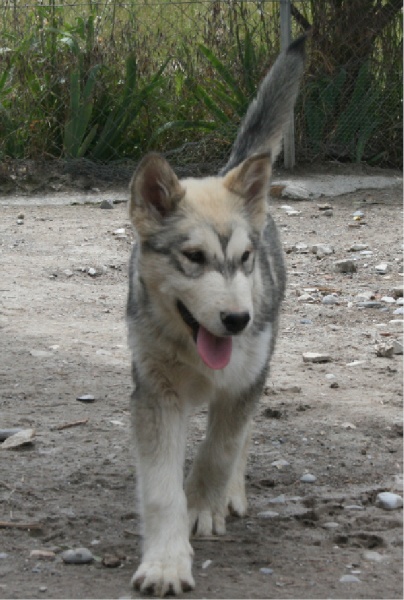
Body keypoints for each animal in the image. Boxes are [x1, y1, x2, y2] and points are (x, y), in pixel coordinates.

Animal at [126, 36, 306, 596]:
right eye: (194, 258)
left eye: (244, 259)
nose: (237, 321)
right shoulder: (156, 394)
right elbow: (160, 487)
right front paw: (166, 560)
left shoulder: (246, 379)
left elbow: (221, 449)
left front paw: (205, 503)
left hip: (260, 361)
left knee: (239, 434)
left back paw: (233, 492)